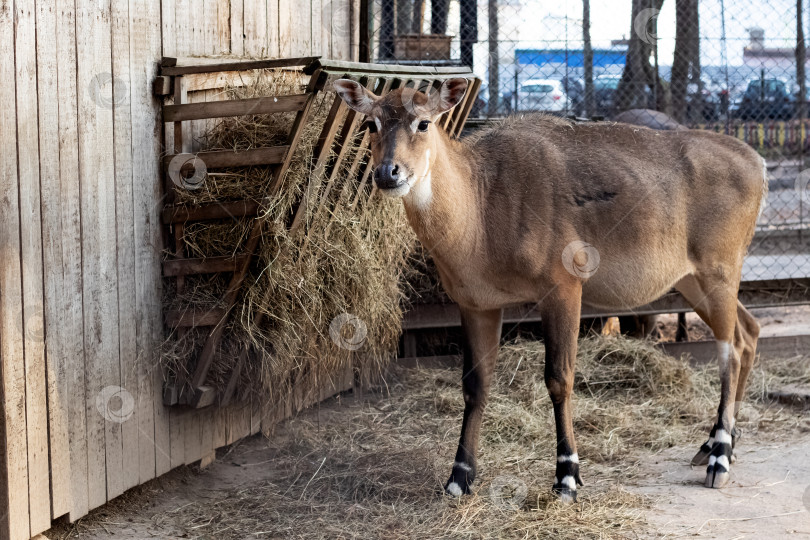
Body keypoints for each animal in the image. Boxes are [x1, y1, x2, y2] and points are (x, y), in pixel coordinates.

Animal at [332, 78, 764, 500]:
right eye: (370, 123)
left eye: (423, 122)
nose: (388, 173)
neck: (481, 207)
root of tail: (757, 163)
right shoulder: (476, 303)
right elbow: (475, 385)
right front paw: (459, 478)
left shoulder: (563, 287)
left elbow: (560, 378)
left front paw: (567, 476)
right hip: (693, 280)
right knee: (748, 332)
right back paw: (714, 445)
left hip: (719, 270)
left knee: (729, 350)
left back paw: (720, 458)